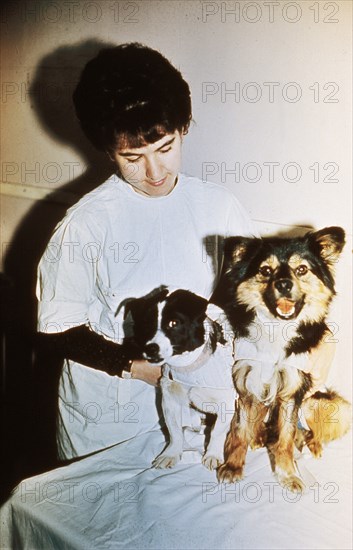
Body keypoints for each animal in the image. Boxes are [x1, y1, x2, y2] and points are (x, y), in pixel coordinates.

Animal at [122, 286, 235, 472]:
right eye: (147, 324)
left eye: (174, 323)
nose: (151, 349)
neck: (187, 368)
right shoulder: (169, 400)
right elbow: (174, 430)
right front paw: (171, 454)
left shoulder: (227, 403)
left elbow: (217, 431)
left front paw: (212, 454)